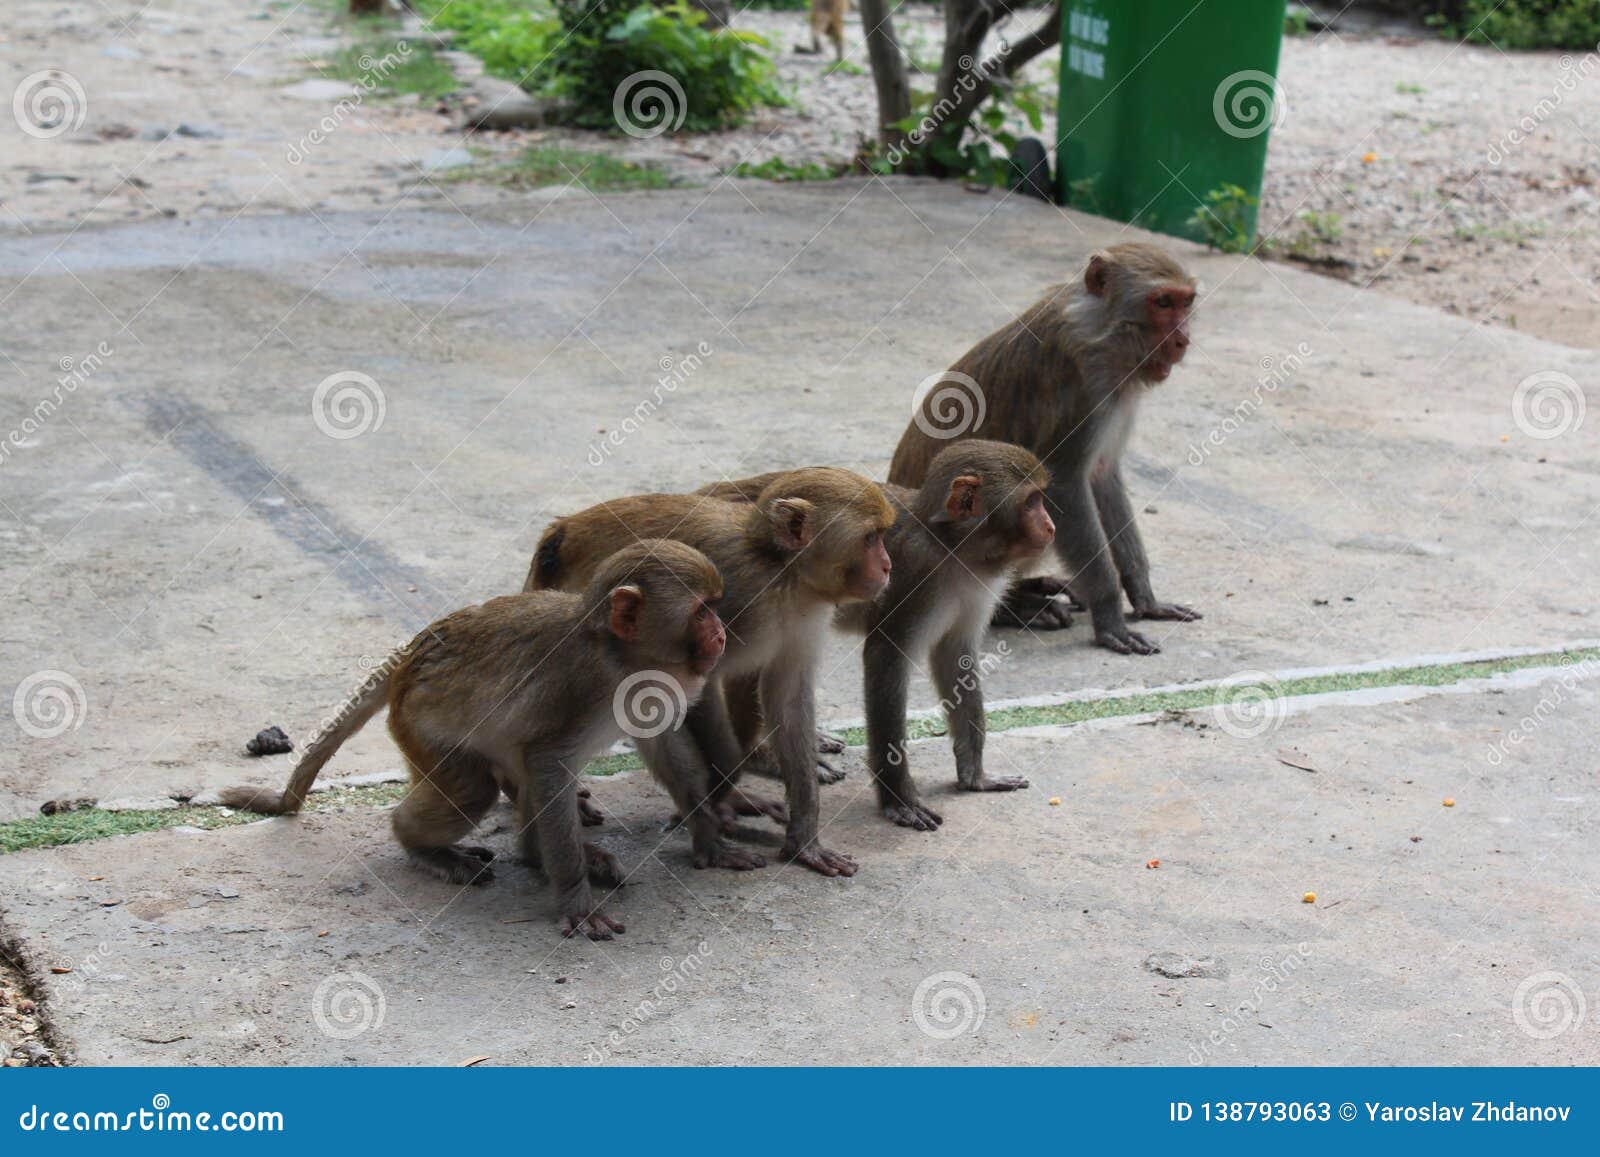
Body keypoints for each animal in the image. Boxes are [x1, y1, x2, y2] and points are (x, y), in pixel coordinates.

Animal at [217, 544, 726, 940]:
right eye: (702, 610)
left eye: (715, 605)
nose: (721, 634)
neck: (621, 655)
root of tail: (410, 653)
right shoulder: (583, 686)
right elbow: (549, 760)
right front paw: (575, 899)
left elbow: (659, 742)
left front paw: (708, 833)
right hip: (418, 726)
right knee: (472, 791)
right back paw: (425, 847)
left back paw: (539, 855)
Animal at [531, 467, 896, 876]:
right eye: (871, 538)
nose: (887, 566)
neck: (784, 574)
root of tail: (565, 529)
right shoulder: (739, 599)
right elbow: (696, 686)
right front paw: (719, 792)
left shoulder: (804, 615)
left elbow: (787, 700)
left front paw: (804, 840)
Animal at [707, 444, 1056, 832]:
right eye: (1031, 502)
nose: (1051, 525)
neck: (951, 548)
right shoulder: (920, 577)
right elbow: (886, 657)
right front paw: (899, 799)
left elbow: (956, 656)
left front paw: (975, 777)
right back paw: (758, 753)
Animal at [889, 240, 1203, 656]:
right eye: (1163, 302)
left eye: (1185, 303)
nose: (1183, 339)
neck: (1100, 333)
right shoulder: (1082, 387)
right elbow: (1065, 485)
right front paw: (1110, 615)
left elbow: (1102, 476)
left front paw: (1144, 596)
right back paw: (1016, 606)